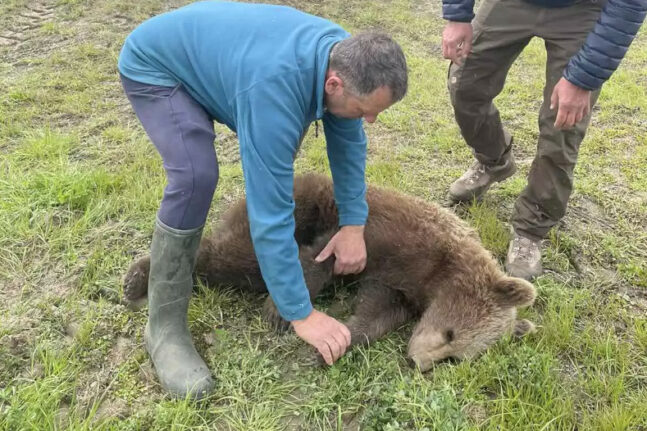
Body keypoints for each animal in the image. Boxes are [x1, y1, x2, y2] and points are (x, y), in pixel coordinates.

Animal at [123, 173, 536, 372]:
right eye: (451, 334)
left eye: (455, 358)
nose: (416, 362)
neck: (438, 272)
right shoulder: (387, 237)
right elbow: (322, 259)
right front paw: (283, 313)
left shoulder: (396, 286)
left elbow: (375, 314)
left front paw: (333, 348)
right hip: (296, 206)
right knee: (235, 257)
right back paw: (138, 277)